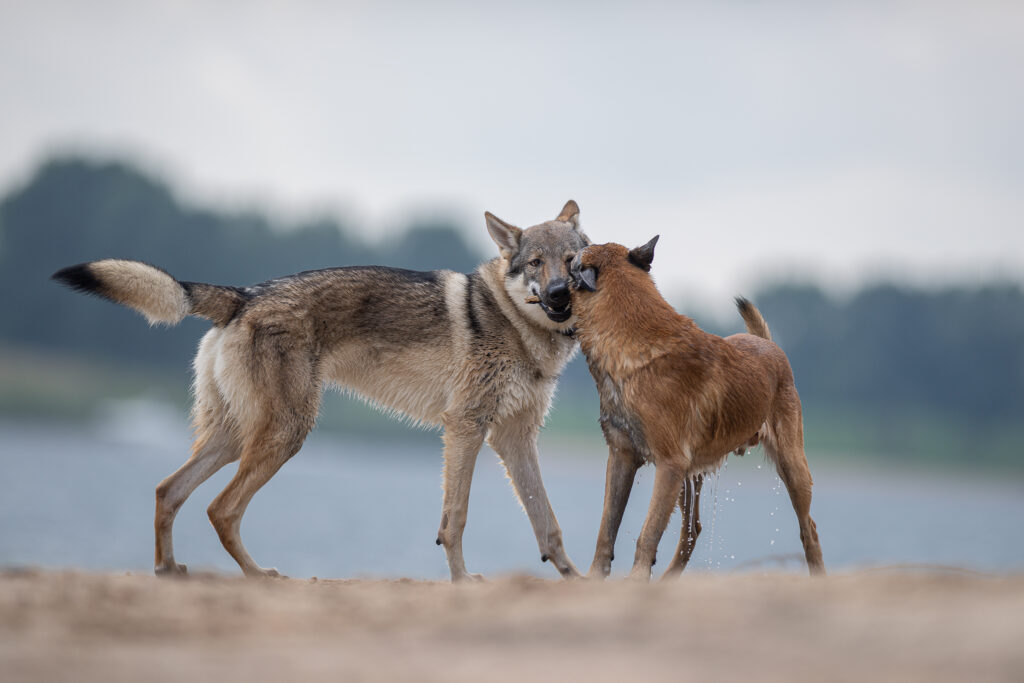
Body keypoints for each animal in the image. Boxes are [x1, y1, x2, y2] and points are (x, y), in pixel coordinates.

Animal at [569, 237, 823, 581]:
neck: (631, 341)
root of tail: (771, 346)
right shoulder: (622, 457)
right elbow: (606, 528)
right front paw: (595, 578)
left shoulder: (669, 465)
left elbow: (647, 533)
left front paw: (636, 580)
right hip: (691, 477)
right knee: (693, 530)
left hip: (791, 466)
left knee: (808, 529)